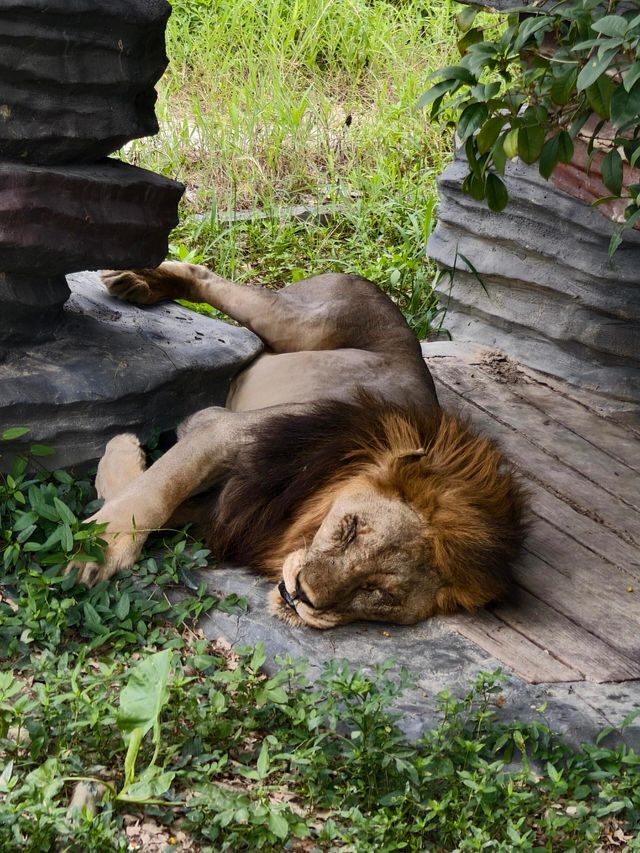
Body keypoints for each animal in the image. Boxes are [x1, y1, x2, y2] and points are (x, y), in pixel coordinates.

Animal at [67, 262, 524, 628]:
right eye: (351, 530)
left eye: (380, 592)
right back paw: (136, 281)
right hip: (305, 321)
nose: (302, 594)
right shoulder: (220, 430)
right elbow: (151, 491)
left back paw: (138, 284)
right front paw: (98, 544)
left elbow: (151, 497)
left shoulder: (223, 510)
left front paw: (117, 468)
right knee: (204, 274)